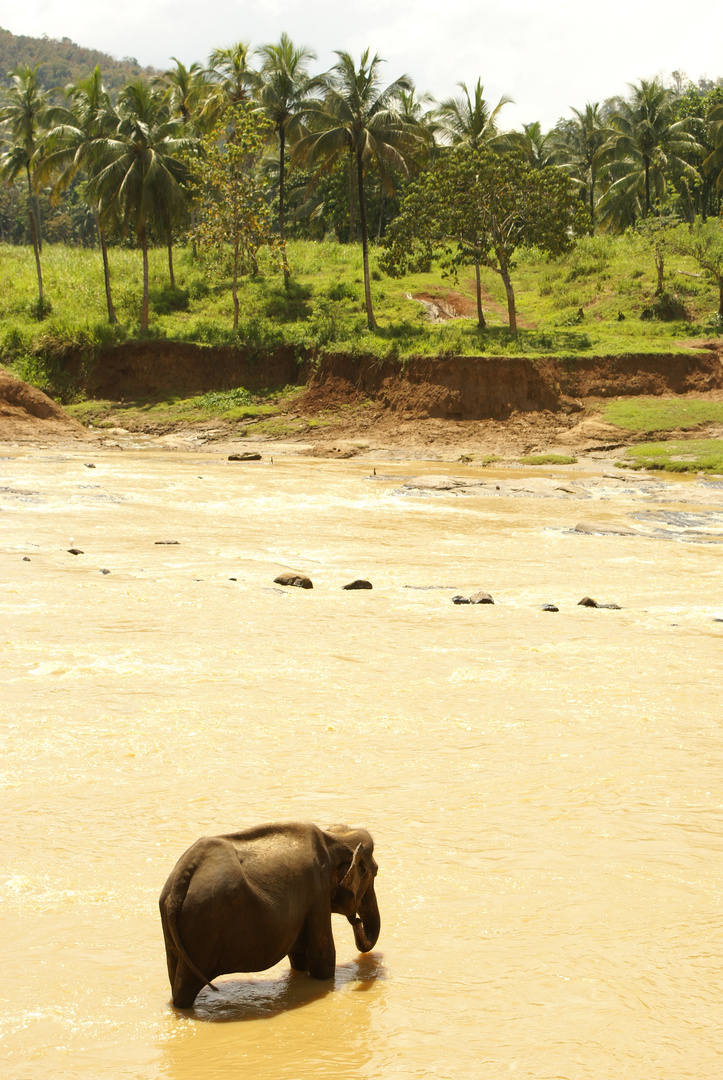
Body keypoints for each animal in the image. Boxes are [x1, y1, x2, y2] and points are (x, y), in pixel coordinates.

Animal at [158, 820, 380, 1006]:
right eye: (375, 872)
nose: (357, 921)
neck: (335, 838)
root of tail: (182, 878)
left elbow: (299, 959)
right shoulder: (317, 893)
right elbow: (323, 958)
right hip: (203, 926)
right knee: (186, 988)